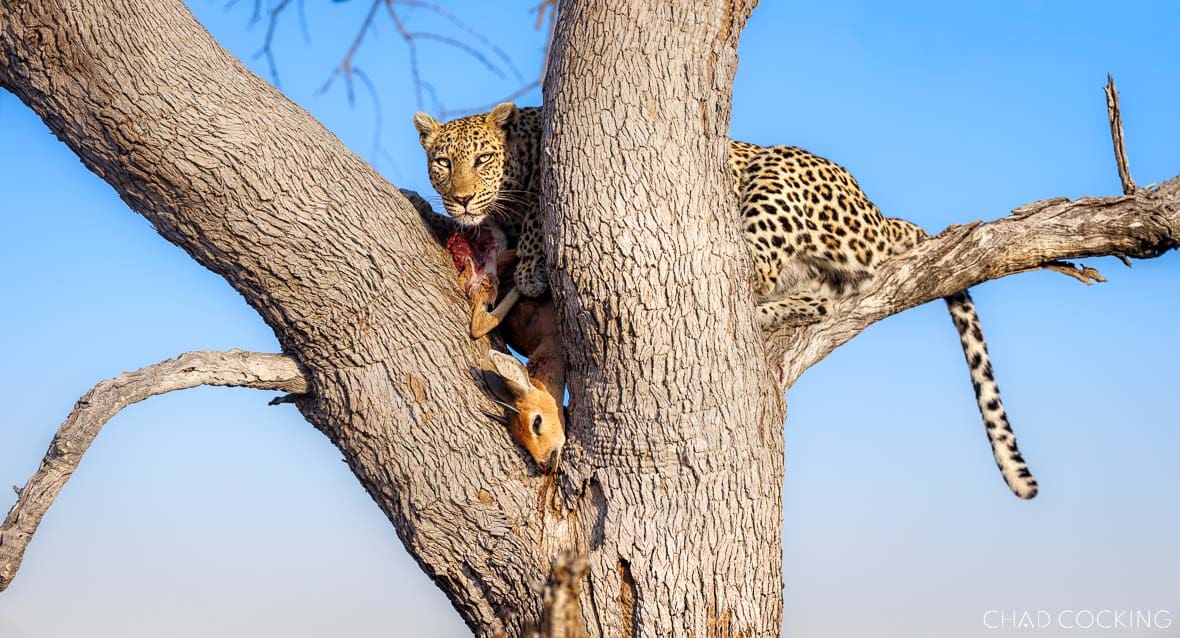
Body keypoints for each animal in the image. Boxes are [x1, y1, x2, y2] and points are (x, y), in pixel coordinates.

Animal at [412, 103, 1038, 499]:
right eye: (443, 162)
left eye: (482, 159)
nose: (459, 198)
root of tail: (876, 211)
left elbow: (536, 235)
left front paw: (529, 263)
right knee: (816, 298)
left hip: (775, 189)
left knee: (746, 264)